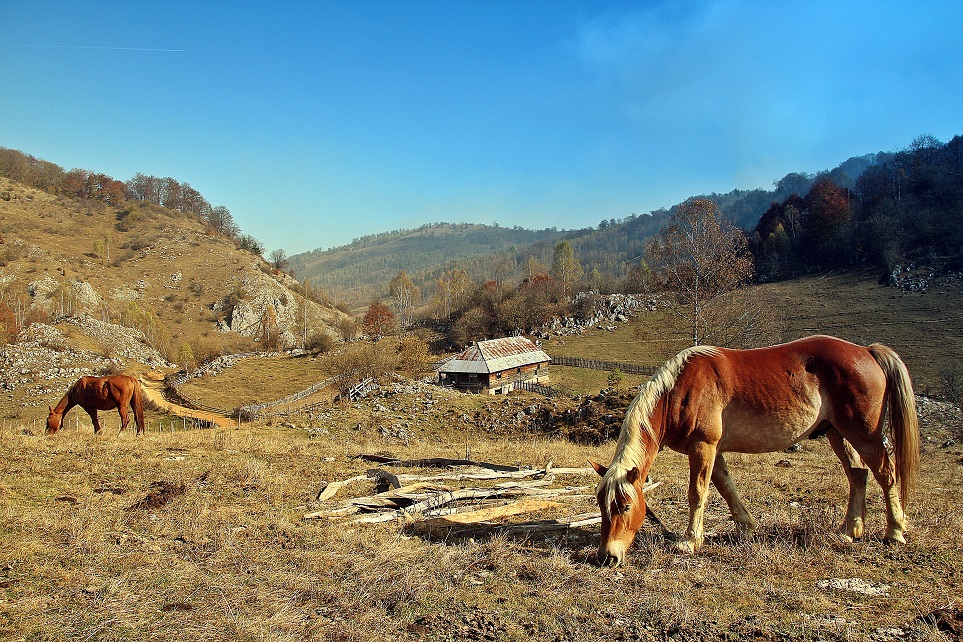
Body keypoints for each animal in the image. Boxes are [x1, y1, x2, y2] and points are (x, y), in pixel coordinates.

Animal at [590, 335, 920, 567]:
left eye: (625, 506)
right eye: (601, 507)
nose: (608, 557)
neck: (680, 390)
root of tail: (866, 351)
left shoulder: (703, 446)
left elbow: (698, 492)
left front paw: (690, 541)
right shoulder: (714, 450)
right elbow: (726, 486)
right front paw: (746, 528)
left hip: (864, 435)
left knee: (886, 475)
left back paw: (894, 532)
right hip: (837, 433)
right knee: (858, 475)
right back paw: (850, 531)